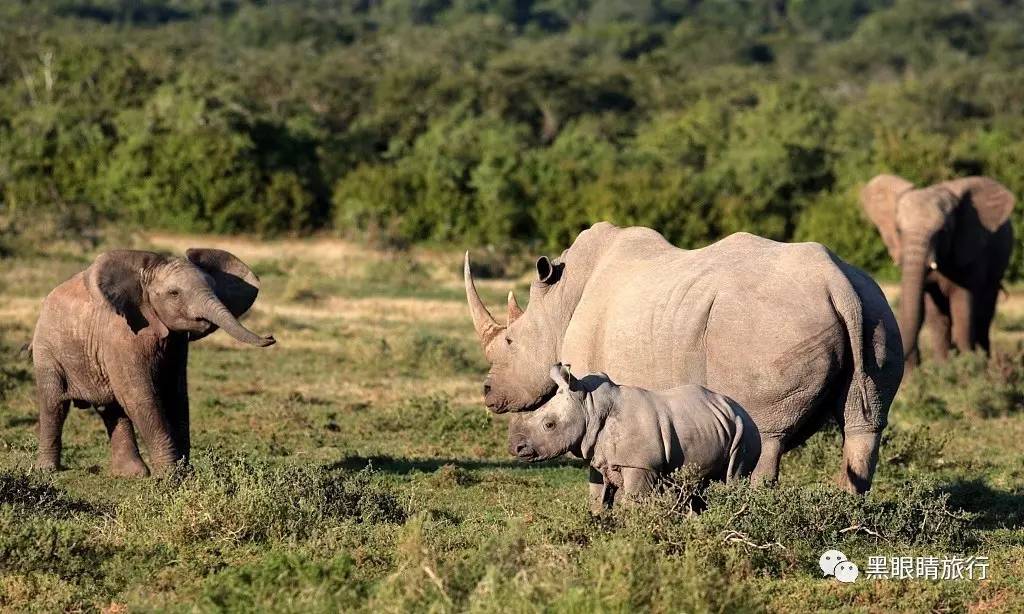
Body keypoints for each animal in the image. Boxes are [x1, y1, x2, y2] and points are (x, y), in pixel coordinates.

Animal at [30, 246, 276, 476]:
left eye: (214, 287)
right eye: (174, 293)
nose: (271, 337)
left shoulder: (177, 343)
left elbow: (176, 396)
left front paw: (185, 474)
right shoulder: (121, 336)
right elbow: (140, 396)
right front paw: (171, 476)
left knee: (111, 408)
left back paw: (131, 474)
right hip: (46, 348)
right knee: (54, 404)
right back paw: (47, 471)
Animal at [509, 362, 761, 511]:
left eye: (549, 425)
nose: (515, 447)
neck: (590, 407)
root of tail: (743, 411)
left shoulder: (640, 465)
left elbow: (634, 504)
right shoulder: (598, 457)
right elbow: (598, 500)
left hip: (745, 432)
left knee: (733, 477)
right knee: (698, 489)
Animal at [856, 174, 1015, 366]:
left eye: (942, 231)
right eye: (899, 230)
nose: (912, 363)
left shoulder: (969, 252)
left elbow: (962, 306)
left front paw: (966, 364)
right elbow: (931, 313)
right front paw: (941, 366)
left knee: (984, 313)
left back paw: (984, 361)